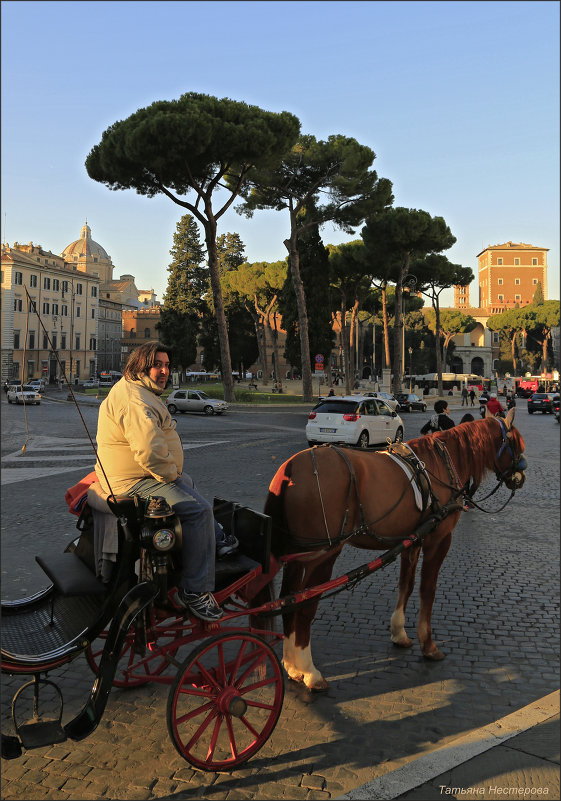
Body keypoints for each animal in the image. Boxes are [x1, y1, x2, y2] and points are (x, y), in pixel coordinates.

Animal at [262, 406, 524, 688]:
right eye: (516, 444)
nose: (521, 477)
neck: (442, 464)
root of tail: (290, 468)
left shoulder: (412, 539)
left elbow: (405, 585)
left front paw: (399, 632)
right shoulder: (439, 538)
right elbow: (427, 590)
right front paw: (428, 644)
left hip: (296, 555)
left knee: (289, 599)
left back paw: (292, 665)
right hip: (322, 555)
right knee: (306, 603)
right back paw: (309, 670)